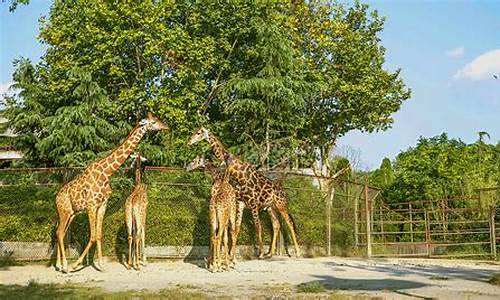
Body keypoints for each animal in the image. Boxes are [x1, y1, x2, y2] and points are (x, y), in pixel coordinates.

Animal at [54, 112, 167, 272]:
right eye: (153, 122)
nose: (166, 126)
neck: (106, 173)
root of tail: (57, 197)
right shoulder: (91, 205)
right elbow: (93, 236)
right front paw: (76, 264)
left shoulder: (102, 205)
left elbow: (98, 235)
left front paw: (101, 265)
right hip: (64, 212)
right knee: (59, 232)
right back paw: (64, 265)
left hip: (70, 213)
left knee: (60, 232)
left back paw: (59, 264)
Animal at [186, 126, 298, 258]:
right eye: (194, 132)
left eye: (198, 133)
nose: (189, 142)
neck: (240, 176)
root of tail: (283, 191)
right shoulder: (241, 202)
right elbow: (236, 227)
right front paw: (230, 254)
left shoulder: (253, 203)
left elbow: (257, 226)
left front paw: (260, 253)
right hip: (270, 207)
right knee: (276, 225)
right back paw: (270, 253)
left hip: (281, 205)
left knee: (289, 223)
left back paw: (297, 252)